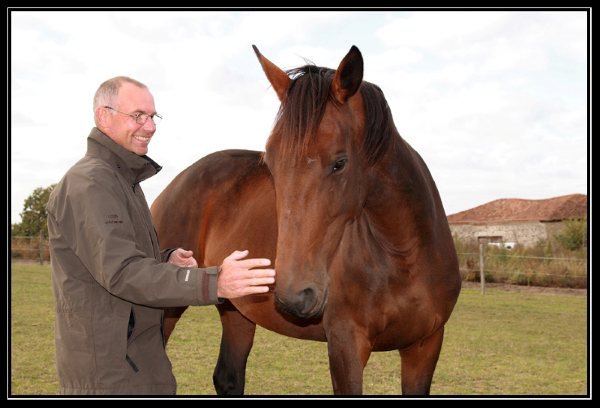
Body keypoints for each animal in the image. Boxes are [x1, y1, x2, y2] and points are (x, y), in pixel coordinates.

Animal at [150, 45, 460, 396]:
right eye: (270, 163)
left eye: (340, 163)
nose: (295, 295)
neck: (402, 253)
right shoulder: (346, 345)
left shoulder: (426, 345)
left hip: (236, 309)